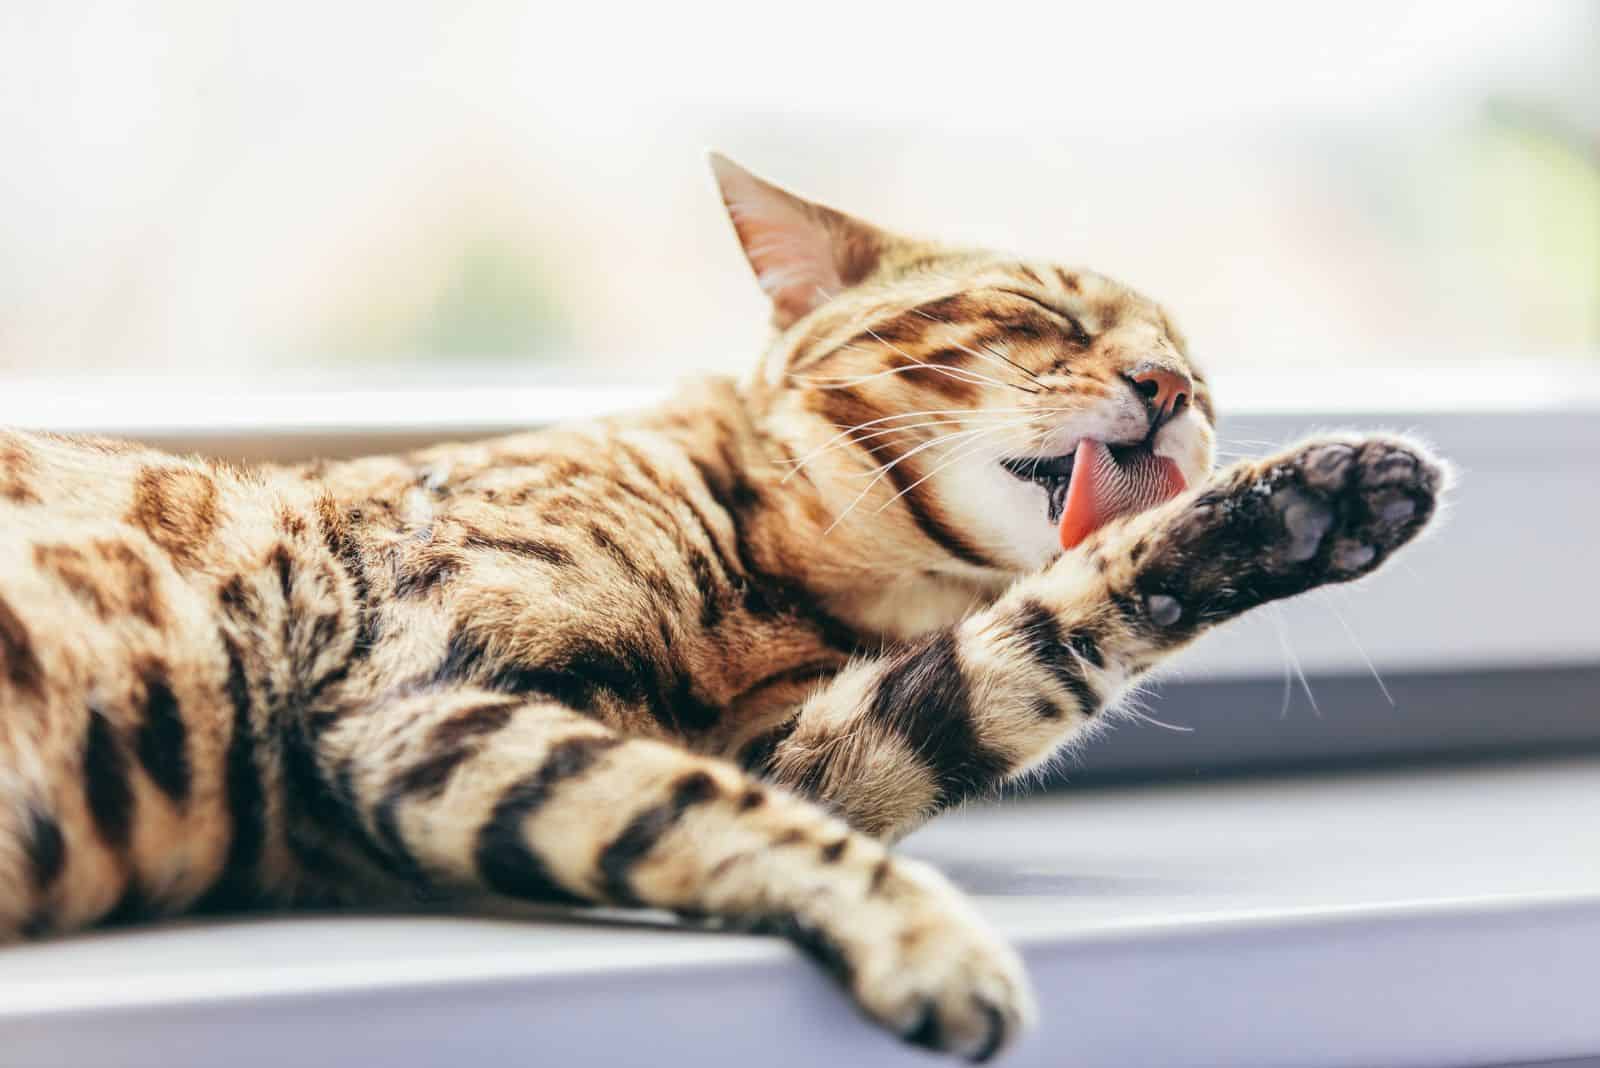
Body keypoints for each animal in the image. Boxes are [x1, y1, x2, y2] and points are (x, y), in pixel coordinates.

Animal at [0, 154, 1452, 1061]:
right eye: (1037, 310)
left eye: (1200, 369)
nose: (1169, 387)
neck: (774, 576)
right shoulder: (415, 701)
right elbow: (718, 809)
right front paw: (935, 944)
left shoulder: (800, 749)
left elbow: (1006, 659)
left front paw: (1307, 503)